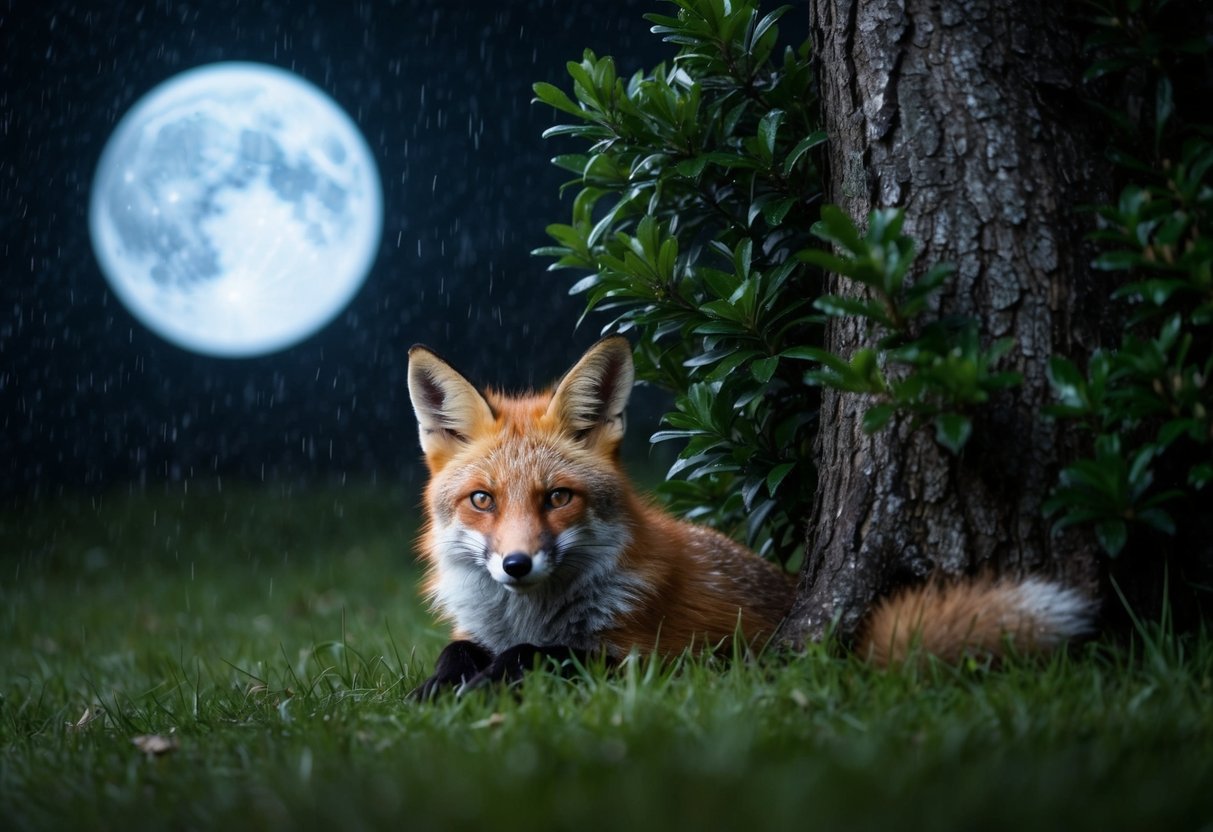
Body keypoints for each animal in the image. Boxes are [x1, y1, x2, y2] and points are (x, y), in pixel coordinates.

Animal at [406, 335, 1094, 697]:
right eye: (483, 500)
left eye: (556, 498)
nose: (517, 564)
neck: (533, 613)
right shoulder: (478, 631)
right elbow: (455, 651)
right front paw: (438, 688)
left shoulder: (663, 661)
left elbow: (540, 655)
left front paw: (479, 686)